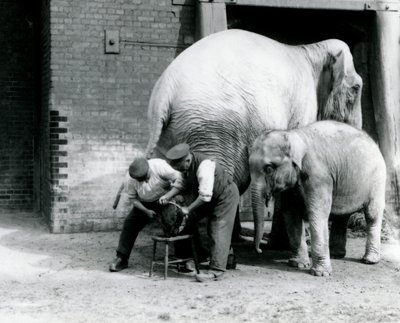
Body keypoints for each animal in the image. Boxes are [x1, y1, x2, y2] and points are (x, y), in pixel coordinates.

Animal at [146, 29, 362, 237]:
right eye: (357, 87)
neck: (311, 49)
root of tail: (165, 94)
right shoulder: (303, 106)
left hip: (174, 135)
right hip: (214, 129)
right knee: (223, 183)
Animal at [250, 120, 388, 278]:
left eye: (269, 168)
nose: (259, 250)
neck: (293, 134)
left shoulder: (319, 176)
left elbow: (317, 213)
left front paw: (320, 273)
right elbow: (291, 214)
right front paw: (297, 264)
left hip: (377, 179)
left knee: (372, 214)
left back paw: (370, 260)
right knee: (342, 216)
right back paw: (335, 254)